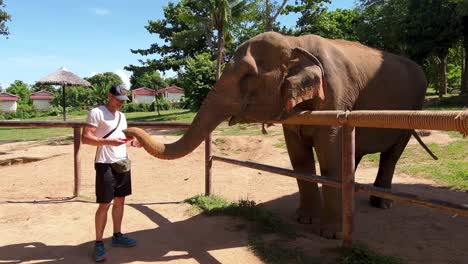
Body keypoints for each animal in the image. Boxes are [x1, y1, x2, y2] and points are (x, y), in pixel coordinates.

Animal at [123, 31, 428, 239]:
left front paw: (331, 234)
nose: (127, 130)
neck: (297, 44)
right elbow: (299, 159)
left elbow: (329, 159)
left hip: (414, 107)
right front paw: (304, 220)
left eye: (247, 76)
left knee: (392, 154)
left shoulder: (338, 97)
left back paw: (382, 204)